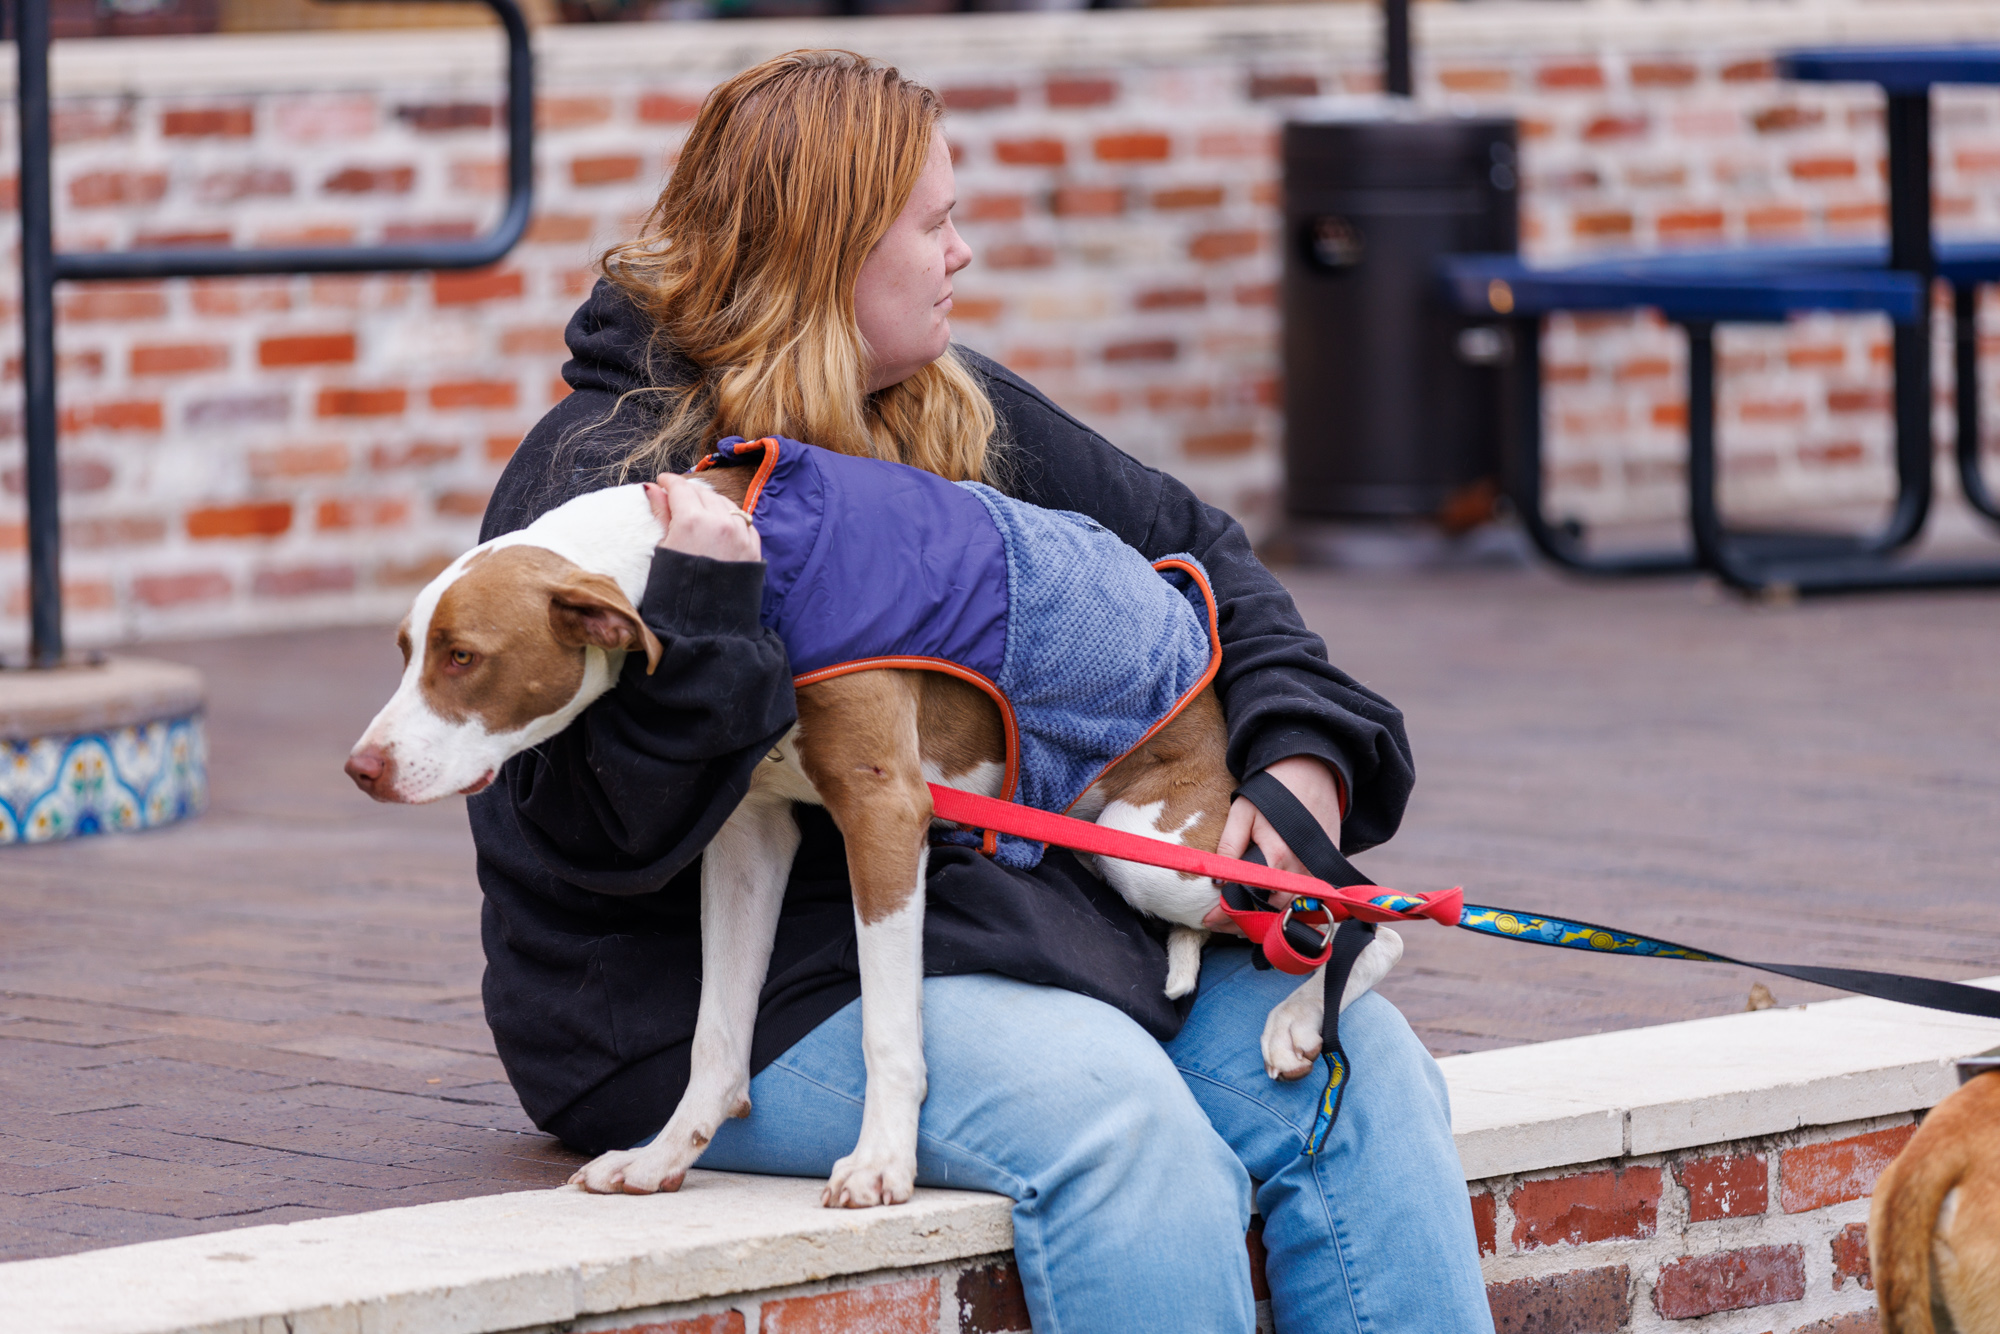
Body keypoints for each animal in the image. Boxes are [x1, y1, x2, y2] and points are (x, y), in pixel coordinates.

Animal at [344, 470, 1400, 1208]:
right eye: (403, 653)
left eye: (464, 658)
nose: (360, 768)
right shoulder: (747, 837)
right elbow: (716, 1030)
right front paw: (664, 1155)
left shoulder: (886, 815)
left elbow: (889, 1023)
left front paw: (883, 1162)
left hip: (1148, 841)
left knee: (1361, 917)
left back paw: (1297, 1022)